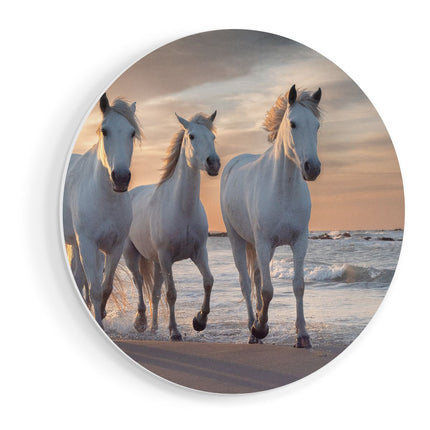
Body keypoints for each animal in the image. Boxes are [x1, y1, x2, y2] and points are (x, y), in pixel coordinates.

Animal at [63, 94, 142, 328]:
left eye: (132, 133)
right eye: (105, 131)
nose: (121, 178)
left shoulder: (114, 247)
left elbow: (105, 287)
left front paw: (103, 316)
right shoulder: (88, 244)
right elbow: (96, 290)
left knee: (81, 279)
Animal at [123, 112, 218, 340]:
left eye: (213, 137)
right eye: (191, 136)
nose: (213, 163)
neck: (182, 208)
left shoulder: (199, 252)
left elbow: (208, 281)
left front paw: (199, 321)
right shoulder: (166, 257)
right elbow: (172, 293)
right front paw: (174, 332)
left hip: (156, 263)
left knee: (154, 293)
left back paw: (154, 327)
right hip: (132, 255)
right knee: (139, 282)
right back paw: (141, 322)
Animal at [220, 85, 320, 346]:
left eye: (317, 125)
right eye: (293, 124)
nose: (313, 168)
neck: (283, 189)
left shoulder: (299, 242)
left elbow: (298, 285)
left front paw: (302, 335)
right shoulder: (264, 242)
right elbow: (267, 290)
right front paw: (260, 328)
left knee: (255, 277)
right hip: (237, 240)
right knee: (246, 283)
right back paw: (251, 328)